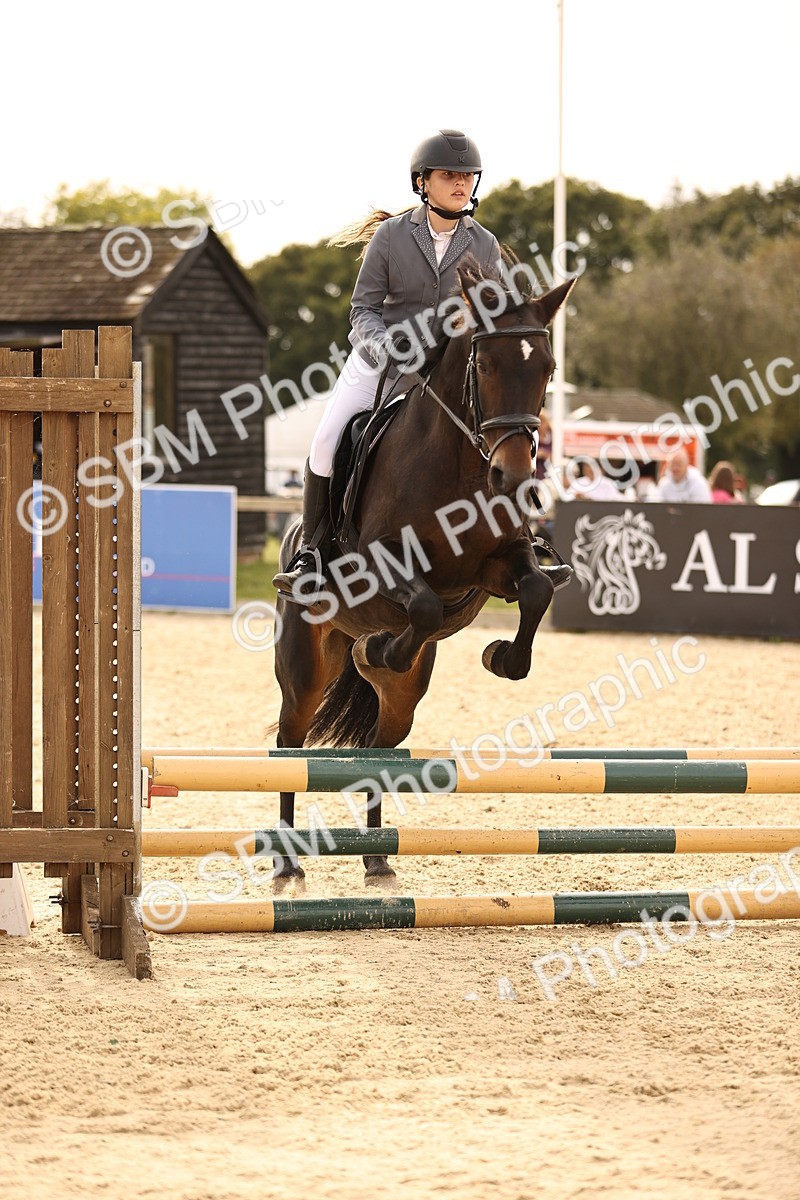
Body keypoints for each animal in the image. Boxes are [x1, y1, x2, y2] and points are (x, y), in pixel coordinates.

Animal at [272, 261, 575, 888]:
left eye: (547, 369)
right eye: (484, 366)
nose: (514, 478)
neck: (459, 468)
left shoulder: (497, 566)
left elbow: (535, 590)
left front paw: (503, 658)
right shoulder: (382, 563)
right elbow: (423, 604)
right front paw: (382, 647)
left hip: (405, 697)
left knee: (379, 749)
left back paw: (377, 859)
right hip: (305, 668)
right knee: (290, 742)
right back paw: (288, 863)